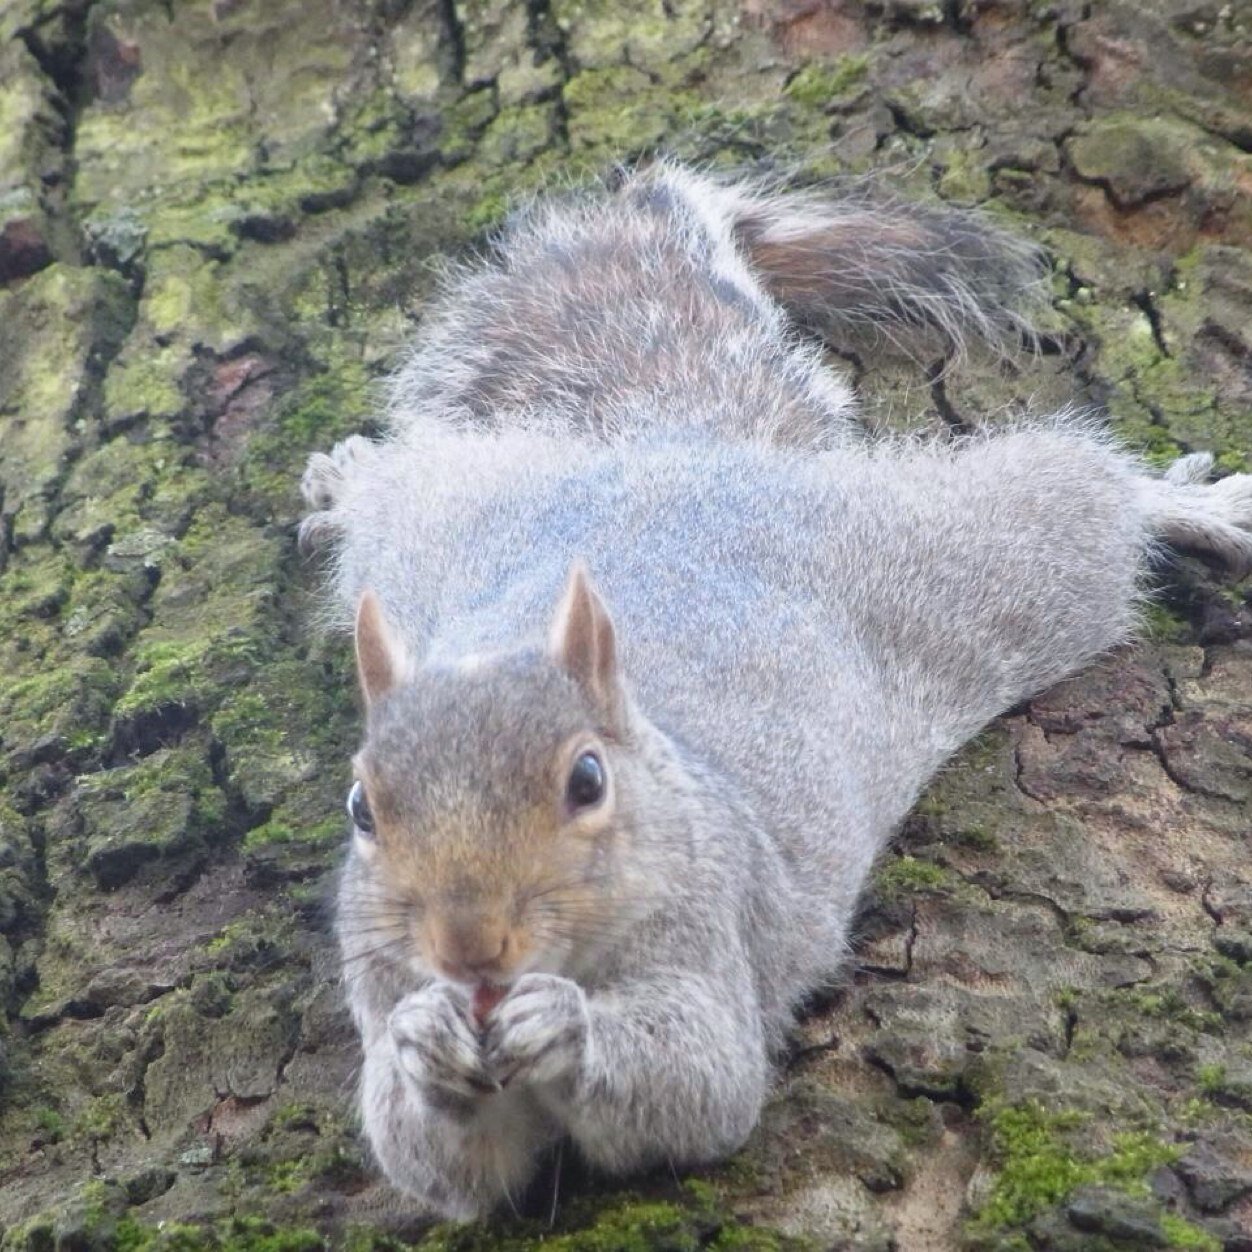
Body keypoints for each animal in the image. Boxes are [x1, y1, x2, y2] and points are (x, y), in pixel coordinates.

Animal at [295, 161, 1252, 1216]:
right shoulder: (380, 980)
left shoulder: (714, 926)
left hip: (985, 561)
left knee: (1084, 492)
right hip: (433, 523)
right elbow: (437, 1160)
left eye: (587, 781)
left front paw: (566, 1023)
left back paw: (1184, 505)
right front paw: (423, 1038)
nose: (469, 948)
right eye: (360, 809)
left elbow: (701, 1085)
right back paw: (348, 477)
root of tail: (672, 447)